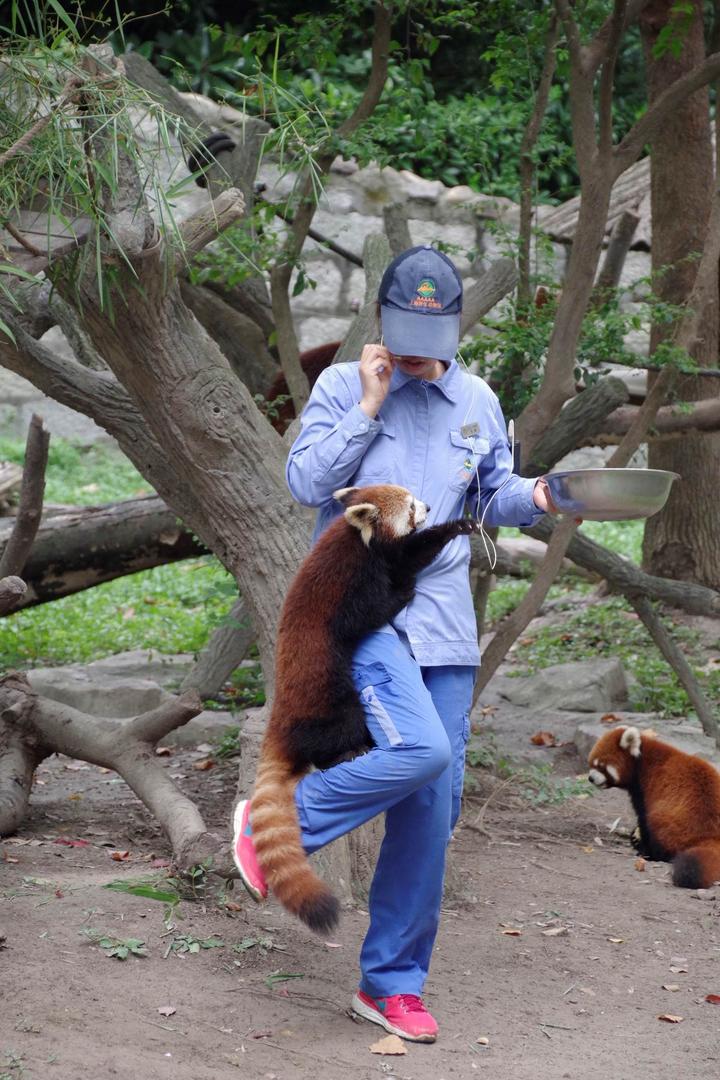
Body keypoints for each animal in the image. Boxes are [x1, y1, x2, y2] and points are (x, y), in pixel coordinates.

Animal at [248, 486, 483, 933]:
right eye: (410, 506)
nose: (429, 506)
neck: (357, 539)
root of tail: (279, 722)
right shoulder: (353, 581)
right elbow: (368, 611)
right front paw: (405, 591)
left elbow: (412, 554)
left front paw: (457, 525)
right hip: (331, 701)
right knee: (337, 735)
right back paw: (353, 750)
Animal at [587, 725, 720, 885]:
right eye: (591, 764)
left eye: (601, 766)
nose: (590, 778)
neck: (641, 761)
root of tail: (710, 835)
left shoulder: (647, 789)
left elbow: (643, 818)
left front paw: (641, 844)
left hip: (671, 824)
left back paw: (652, 855)